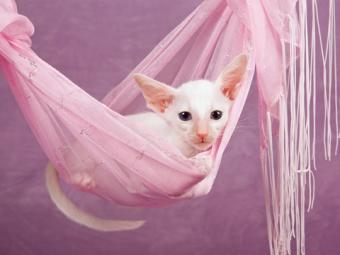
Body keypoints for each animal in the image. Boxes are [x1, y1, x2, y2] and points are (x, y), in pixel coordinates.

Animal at [44, 54, 247, 232]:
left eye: (216, 115)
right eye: (184, 116)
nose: (202, 133)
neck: (187, 150)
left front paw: (204, 161)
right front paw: (202, 162)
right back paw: (84, 177)